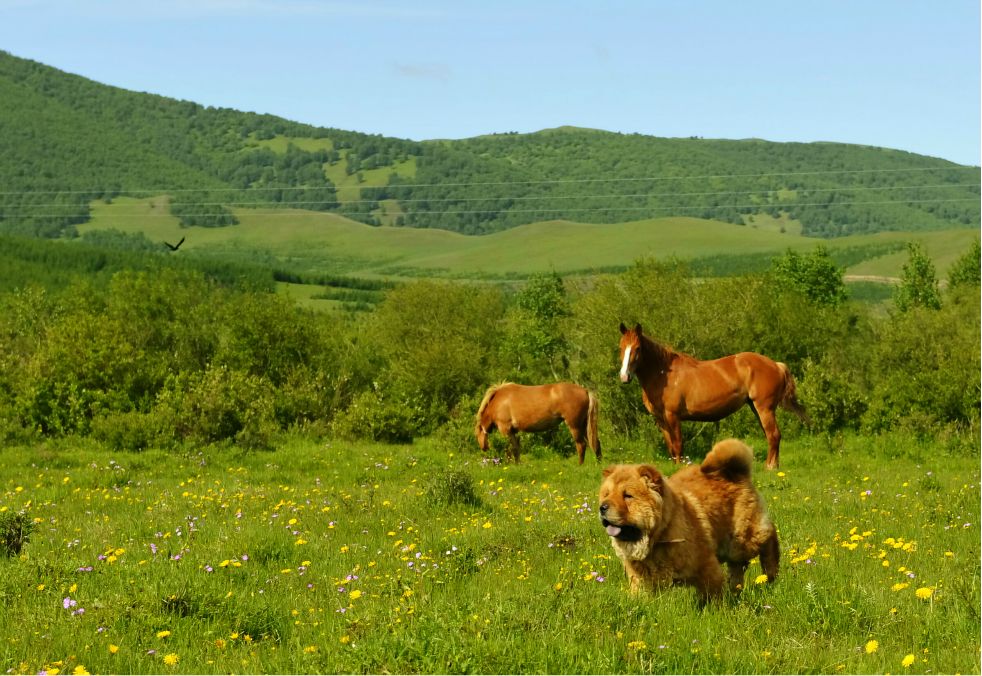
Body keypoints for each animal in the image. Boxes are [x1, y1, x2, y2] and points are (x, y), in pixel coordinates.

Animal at [474, 380, 604, 464]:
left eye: (477, 434)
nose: (483, 448)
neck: (499, 400)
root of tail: (585, 391)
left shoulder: (505, 430)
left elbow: (509, 449)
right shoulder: (513, 432)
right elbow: (516, 449)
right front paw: (518, 465)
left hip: (575, 426)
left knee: (581, 445)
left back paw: (580, 465)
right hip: (584, 425)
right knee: (595, 442)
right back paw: (599, 464)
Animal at [596, 440, 780, 604]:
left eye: (627, 496)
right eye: (606, 494)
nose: (602, 507)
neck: (658, 537)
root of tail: (736, 472)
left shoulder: (706, 564)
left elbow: (713, 592)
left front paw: (715, 609)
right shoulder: (640, 578)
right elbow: (640, 595)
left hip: (742, 540)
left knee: (769, 536)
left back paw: (770, 574)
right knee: (737, 567)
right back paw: (736, 588)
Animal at [620, 324, 812, 470]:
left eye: (637, 348)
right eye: (621, 348)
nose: (624, 377)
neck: (663, 374)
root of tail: (777, 365)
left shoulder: (673, 416)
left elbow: (678, 445)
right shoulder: (661, 419)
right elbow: (671, 447)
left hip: (764, 408)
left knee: (774, 435)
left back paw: (770, 467)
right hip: (756, 408)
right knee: (771, 436)